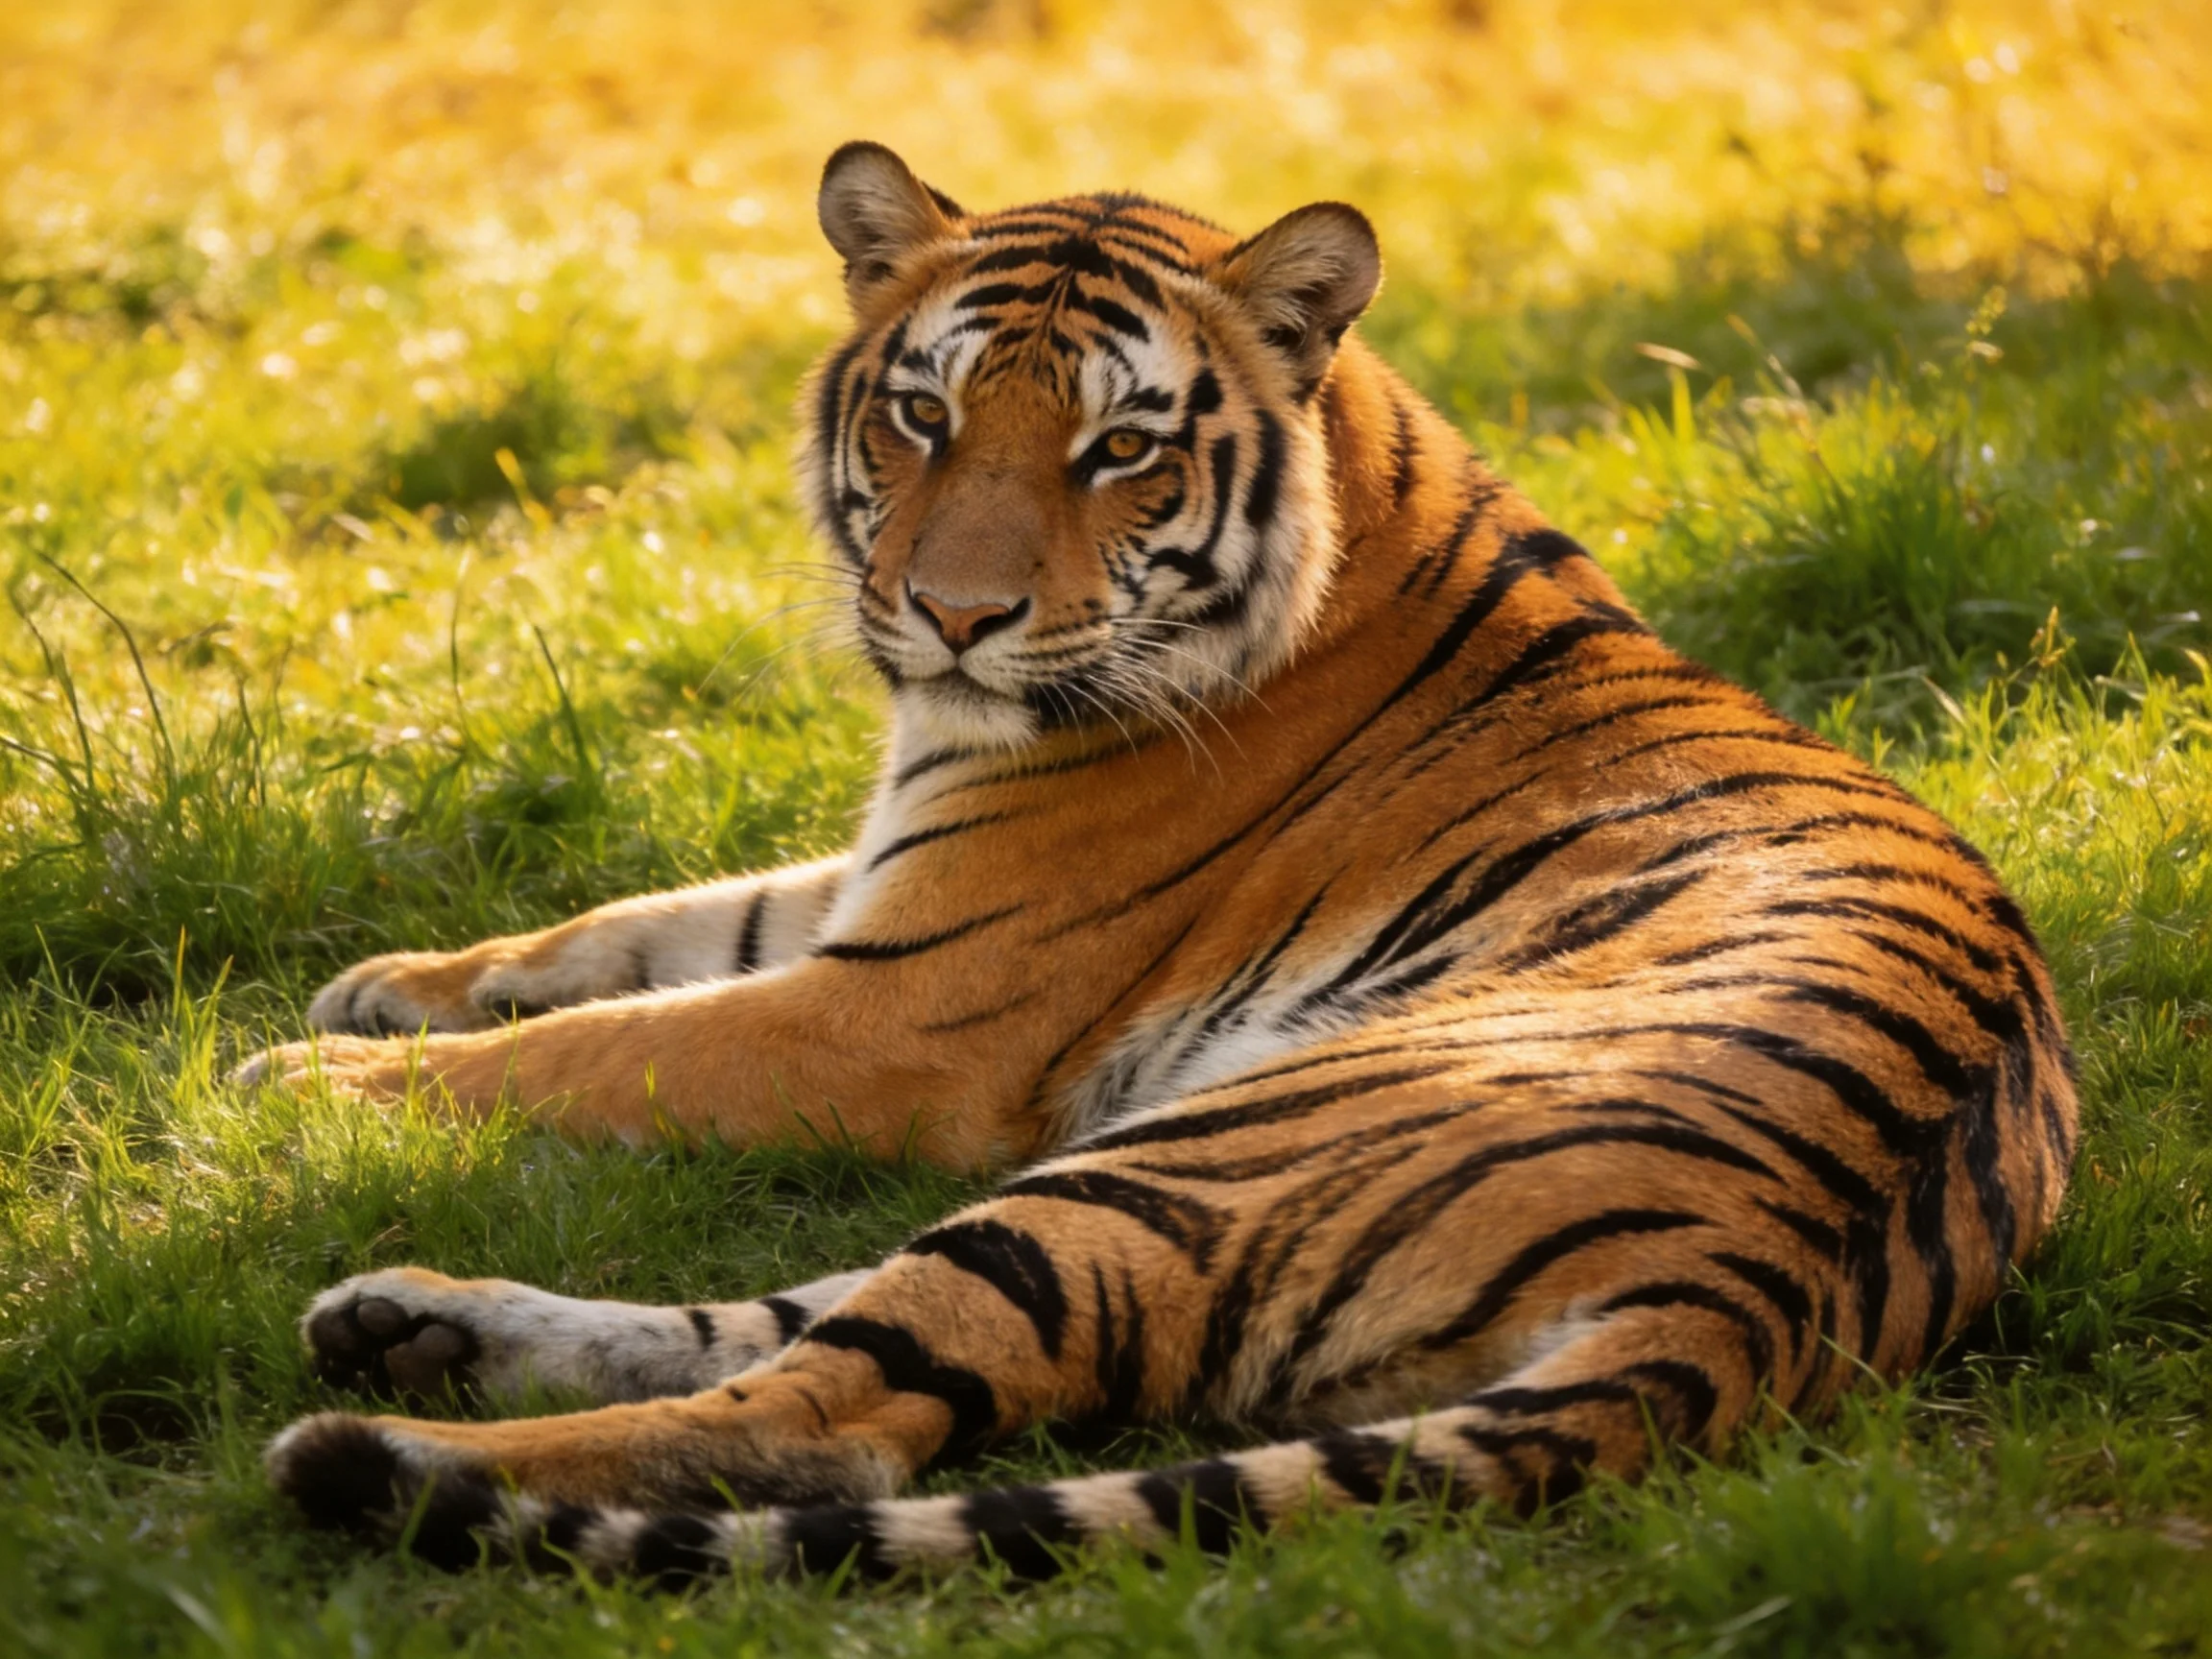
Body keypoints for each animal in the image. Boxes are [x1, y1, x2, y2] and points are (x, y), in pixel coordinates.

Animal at [250, 141, 2079, 1585]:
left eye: (1118, 448)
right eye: (922, 415)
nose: (954, 617)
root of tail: (1755, 1289)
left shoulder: (894, 1012)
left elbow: (596, 1044)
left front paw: (299, 1080)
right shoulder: (883, 890)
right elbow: (641, 927)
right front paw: (380, 985)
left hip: (1189, 1156)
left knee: (830, 1414)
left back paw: (395, 1447)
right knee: (804, 1333)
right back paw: (410, 1321)